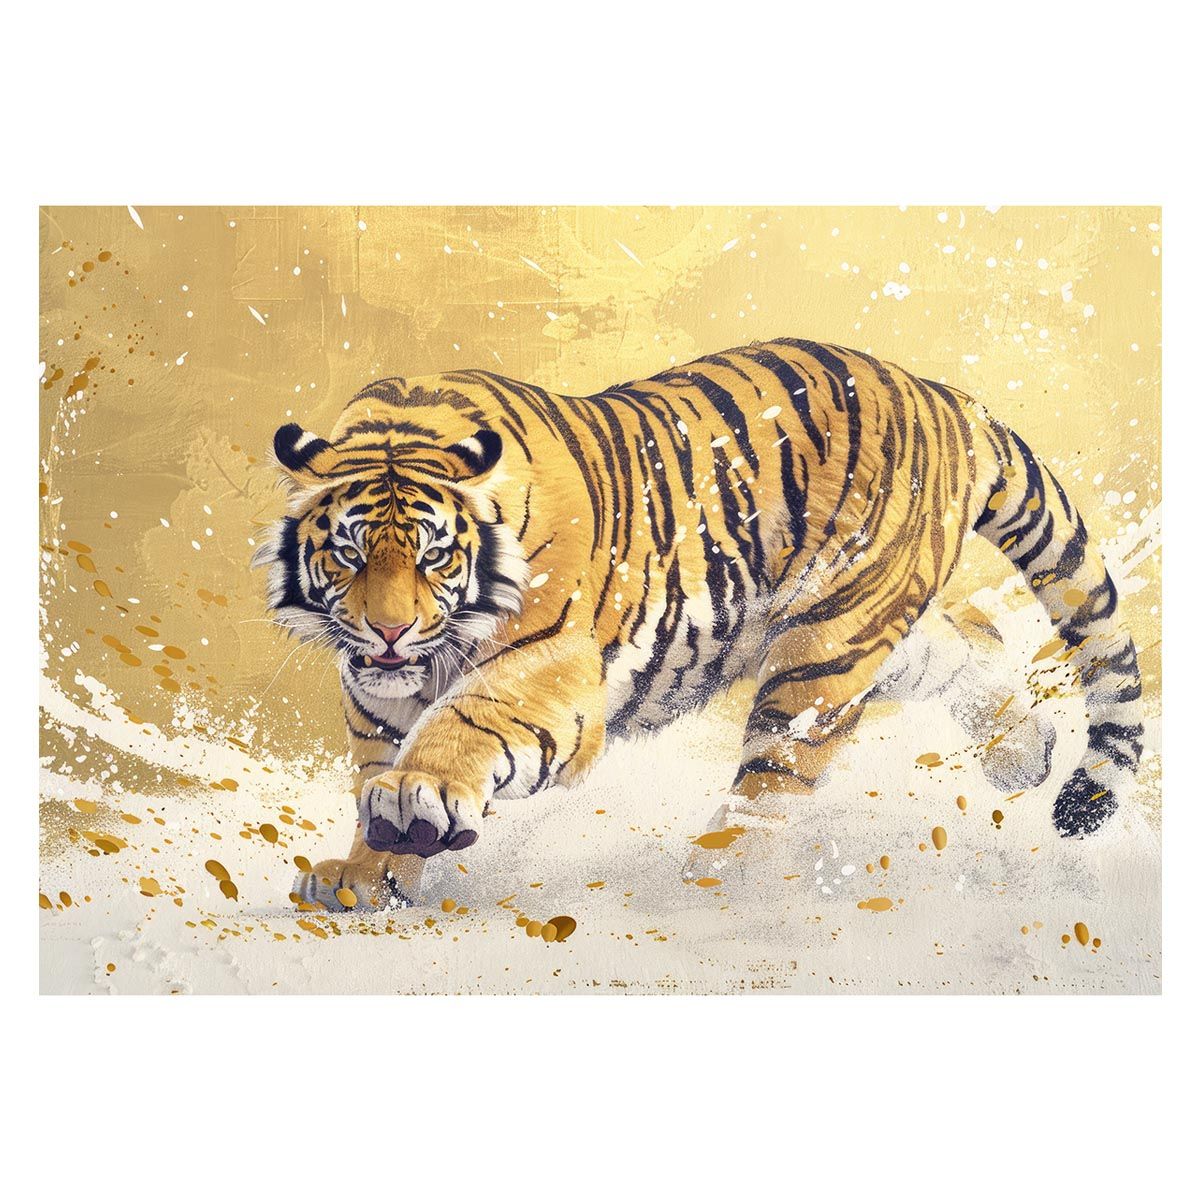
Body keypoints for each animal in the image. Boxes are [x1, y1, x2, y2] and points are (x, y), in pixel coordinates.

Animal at [254, 337, 1143, 910]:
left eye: (436, 555)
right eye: (346, 553)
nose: (388, 633)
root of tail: (935, 393)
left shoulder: (551, 671)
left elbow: (459, 727)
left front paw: (421, 795)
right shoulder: (373, 700)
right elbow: (374, 767)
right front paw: (368, 874)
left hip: (823, 645)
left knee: (780, 770)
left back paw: (719, 884)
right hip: (856, 626)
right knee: (970, 636)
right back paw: (1026, 755)